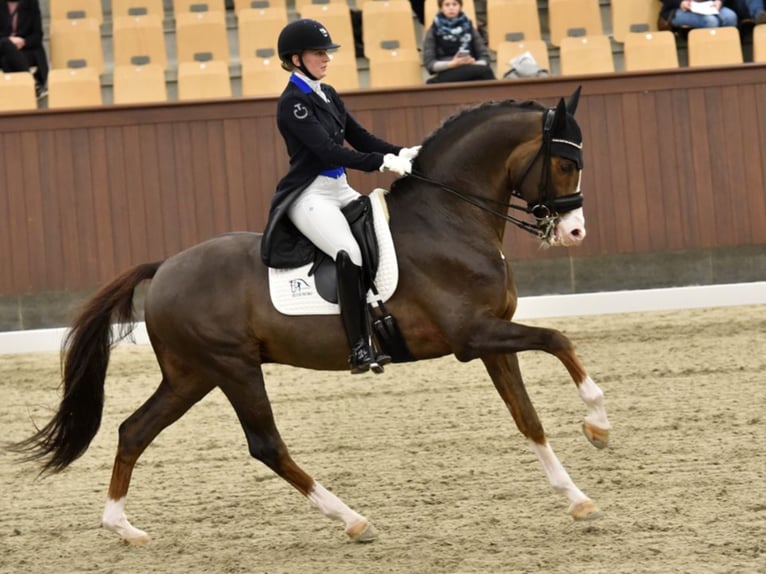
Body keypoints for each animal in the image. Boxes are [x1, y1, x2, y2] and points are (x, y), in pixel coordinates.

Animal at [11, 87, 611, 545]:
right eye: (565, 162)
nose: (576, 232)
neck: (448, 218)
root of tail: (164, 268)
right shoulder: (474, 335)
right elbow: (558, 339)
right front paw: (598, 424)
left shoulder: (490, 340)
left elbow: (527, 418)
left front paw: (578, 499)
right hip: (232, 368)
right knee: (266, 445)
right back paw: (354, 520)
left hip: (192, 374)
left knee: (134, 430)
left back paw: (122, 527)